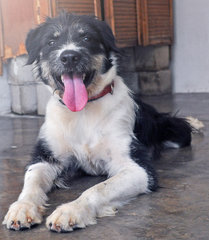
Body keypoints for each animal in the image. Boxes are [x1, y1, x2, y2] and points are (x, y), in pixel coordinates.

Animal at [2, 12, 192, 232]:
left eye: (86, 38)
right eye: (51, 42)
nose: (69, 56)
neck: (82, 112)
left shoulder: (138, 169)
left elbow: (97, 189)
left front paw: (71, 211)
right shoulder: (45, 157)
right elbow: (31, 182)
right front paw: (22, 208)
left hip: (177, 131)